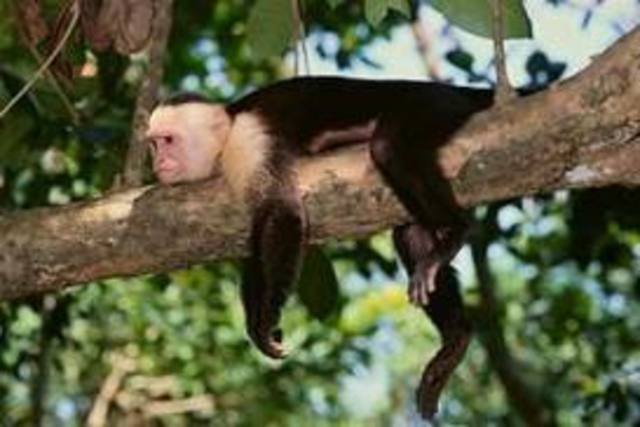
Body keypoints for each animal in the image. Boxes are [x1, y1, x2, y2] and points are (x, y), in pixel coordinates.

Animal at [146, 77, 492, 418]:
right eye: (153, 144)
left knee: (388, 146)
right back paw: (455, 339)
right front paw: (255, 325)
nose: (158, 162)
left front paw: (267, 317)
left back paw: (456, 230)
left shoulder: (249, 141)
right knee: (411, 233)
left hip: (435, 103)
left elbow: (282, 212)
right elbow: (259, 236)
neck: (228, 132)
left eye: (168, 141)